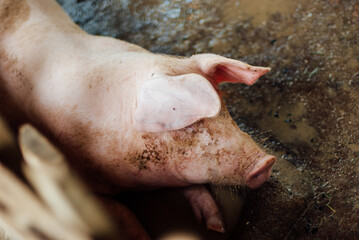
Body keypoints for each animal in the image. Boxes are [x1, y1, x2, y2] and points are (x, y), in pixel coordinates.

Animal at [0, 0, 278, 237]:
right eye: (188, 126)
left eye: (224, 109)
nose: (266, 162)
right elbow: (123, 212)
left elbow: (193, 187)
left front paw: (216, 226)